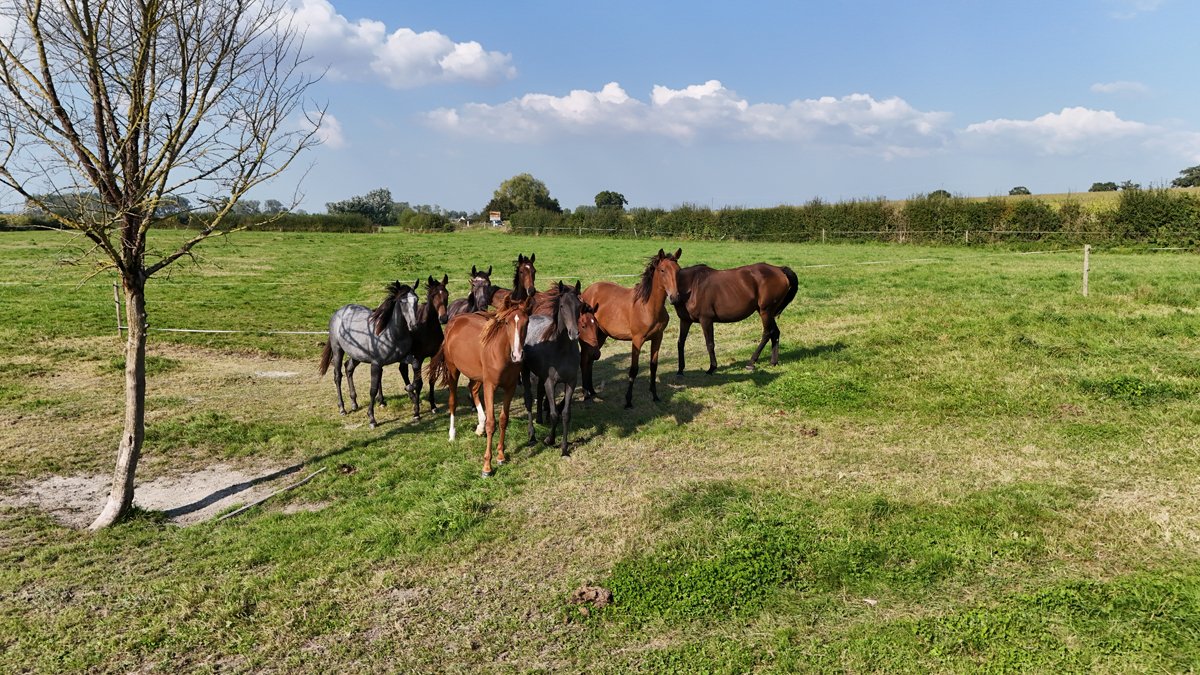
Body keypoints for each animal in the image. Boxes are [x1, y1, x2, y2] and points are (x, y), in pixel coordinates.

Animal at [318, 281, 420, 428]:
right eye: (402, 301)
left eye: (416, 299)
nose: (414, 326)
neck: (390, 333)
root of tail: (339, 313)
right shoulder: (376, 364)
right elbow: (372, 389)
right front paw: (372, 419)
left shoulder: (403, 357)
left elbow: (415, 366)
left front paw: (414, 402)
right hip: (338, 350)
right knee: (337, 376)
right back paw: (342, 409)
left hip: (356, 355)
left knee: (348, 368)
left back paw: (354, 403)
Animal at [427, 295, 531, 477]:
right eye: (506, 322)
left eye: (527, 322)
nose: (517, 355)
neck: (501, 352)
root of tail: (454, 320)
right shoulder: (490, 386)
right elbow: (492, 423)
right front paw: (487, 467)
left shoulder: (509, 388)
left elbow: (503, 420)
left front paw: (501, 456)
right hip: (453, 370)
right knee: (453, 401)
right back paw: (452, 435)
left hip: (477, 375)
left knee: (473, 389)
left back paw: (479, 426)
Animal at [521, 281, 582, 455]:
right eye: (562, 306)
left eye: (579, 305)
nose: (574, 333)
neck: (561, 350)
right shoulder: (550, 382)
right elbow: (555, 414)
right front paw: (550, 439)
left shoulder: (571, 382)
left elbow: (566, 414)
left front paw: (564, 448)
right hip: (525, 371)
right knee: (529, 399)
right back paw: (532, 434)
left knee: (539, 394)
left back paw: (541, 419)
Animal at [580, 248, 682, 408]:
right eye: (662, 270)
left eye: (678, 270)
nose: (675, 298)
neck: (648, 307)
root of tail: (587, 291)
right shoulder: (637, 340)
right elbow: (633, 370)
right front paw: (628, 401)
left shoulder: (658, 337)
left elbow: (654, 366)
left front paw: (655, 396)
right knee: (584, 360)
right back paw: (586, 394)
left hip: (600, 335)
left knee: (590, 360)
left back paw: (592, 390)